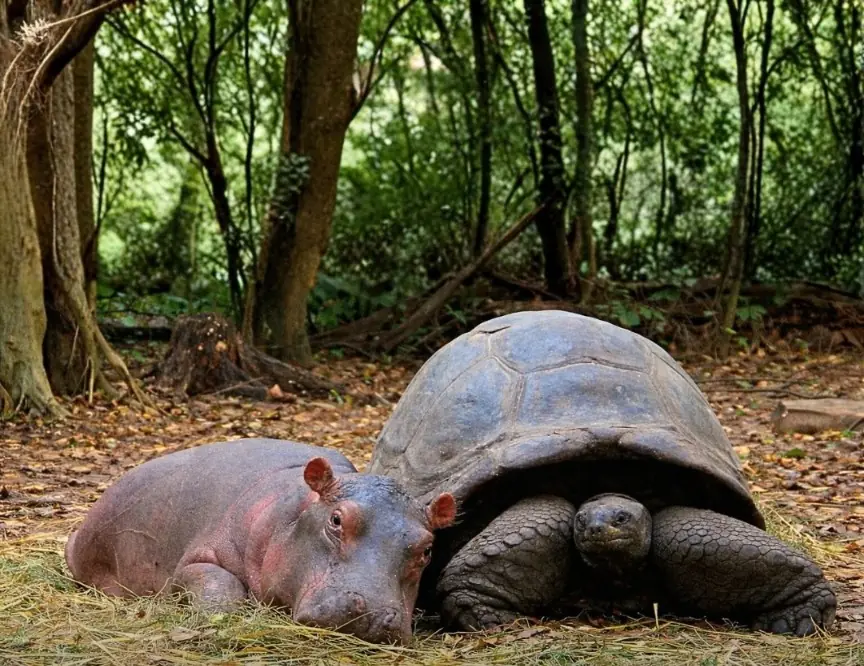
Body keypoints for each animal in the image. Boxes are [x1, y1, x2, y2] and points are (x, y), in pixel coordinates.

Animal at [65, 439, 456, 644]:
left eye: (427, 548)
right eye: (336, 520)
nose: (373, 614)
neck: (294, 511)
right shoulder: (198, 556)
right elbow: (218, 582)